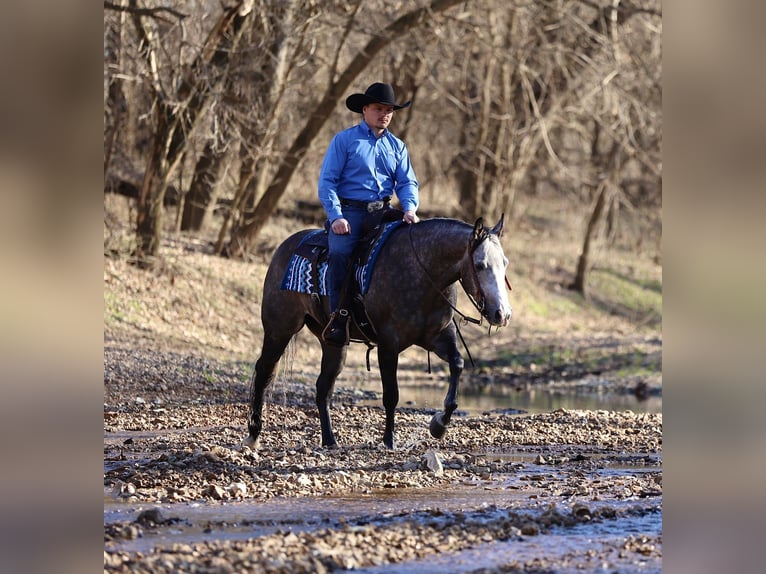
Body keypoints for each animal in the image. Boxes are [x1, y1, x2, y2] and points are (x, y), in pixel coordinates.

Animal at [245, 215, 512, 450]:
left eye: (505, 263)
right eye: (480, 265)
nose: (503, 314)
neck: (421, 271)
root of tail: (285, 246)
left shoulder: (439, 337)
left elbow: (457, 365)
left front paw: (439, 425)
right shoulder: (388, 344)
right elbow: (391, 394)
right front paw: (389, 440)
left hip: (333, 343)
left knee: (323, 388)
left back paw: (329, 440)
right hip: (279, 329)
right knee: (264, 372)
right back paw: (254, 434)